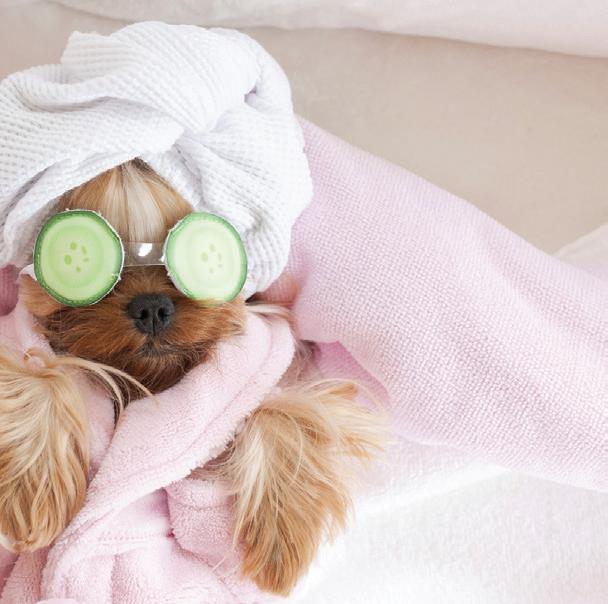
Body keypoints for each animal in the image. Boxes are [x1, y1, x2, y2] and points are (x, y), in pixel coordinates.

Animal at [0, 159, 383, 595]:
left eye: (201, 259)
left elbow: (285, 408)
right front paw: (33, 489)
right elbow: (40, 371)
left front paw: (283, 529)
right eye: (74, 256)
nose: (151, 308)